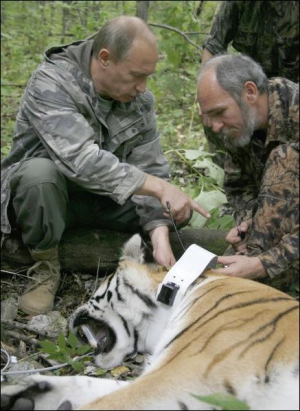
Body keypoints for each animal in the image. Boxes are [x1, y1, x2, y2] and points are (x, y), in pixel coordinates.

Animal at [1, 233, 298, 410]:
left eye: (94, 292)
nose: (69, 318)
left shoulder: (185, 375)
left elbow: (109, 402)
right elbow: (92, 385)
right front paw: (23, 391)